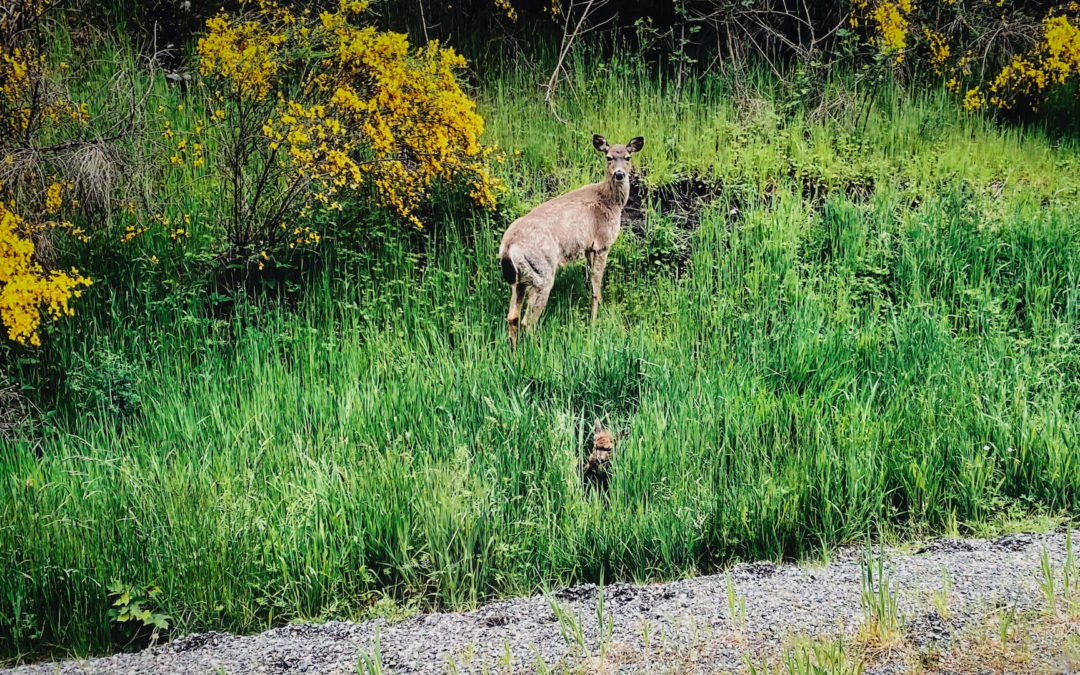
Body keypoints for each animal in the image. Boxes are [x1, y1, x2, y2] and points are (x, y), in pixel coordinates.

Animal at [496, 132, 639, 347]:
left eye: (628, 157)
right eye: (609, 157)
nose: (619, 174)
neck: (611, 202)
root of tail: (507, 246)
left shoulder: (588, 248)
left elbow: (592, 282)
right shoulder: (602, 243)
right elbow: (596, 284)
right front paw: (594, 322)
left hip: (519, 279)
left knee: (512, 317)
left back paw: (513, 350)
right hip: (542, 273)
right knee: (528, 322)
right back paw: (536, 349)